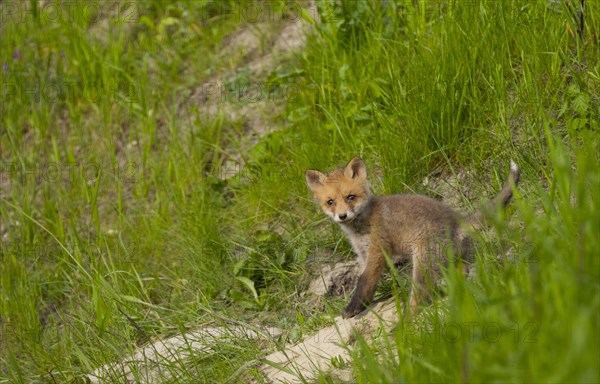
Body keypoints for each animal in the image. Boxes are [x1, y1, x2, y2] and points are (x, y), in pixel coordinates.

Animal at [308, 156, 516, 318]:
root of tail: (458, 221)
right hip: (452, 262)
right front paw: (362, 305)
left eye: (351, 197)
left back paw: (403, 325)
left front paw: (353, 308)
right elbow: (366, 282)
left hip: (422, 266)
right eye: (330, 202)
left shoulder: (377, 251)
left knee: (419, 298)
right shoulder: (363, 253)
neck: (360, 226)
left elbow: (364, 281)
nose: (342, 216)